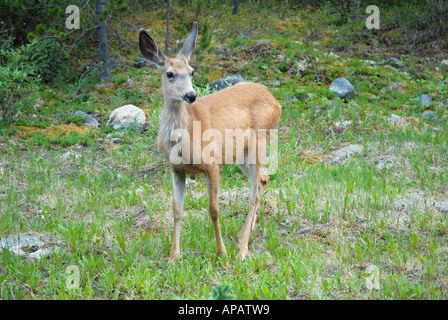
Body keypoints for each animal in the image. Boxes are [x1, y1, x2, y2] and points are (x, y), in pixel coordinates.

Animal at [138, 21, 282, 262]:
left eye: (192, 72)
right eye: (170, 73)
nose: (191, 95)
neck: (184, 139)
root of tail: (275, 101)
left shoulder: (213, 163)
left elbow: (213, 209)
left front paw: (221, 251)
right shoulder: (176, 168)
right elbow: (177, 209)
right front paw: (174, 256)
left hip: (260, 141)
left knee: (255, 189)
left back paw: (242, 249)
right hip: (240, 153)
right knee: (263, 179)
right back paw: (243, 236)